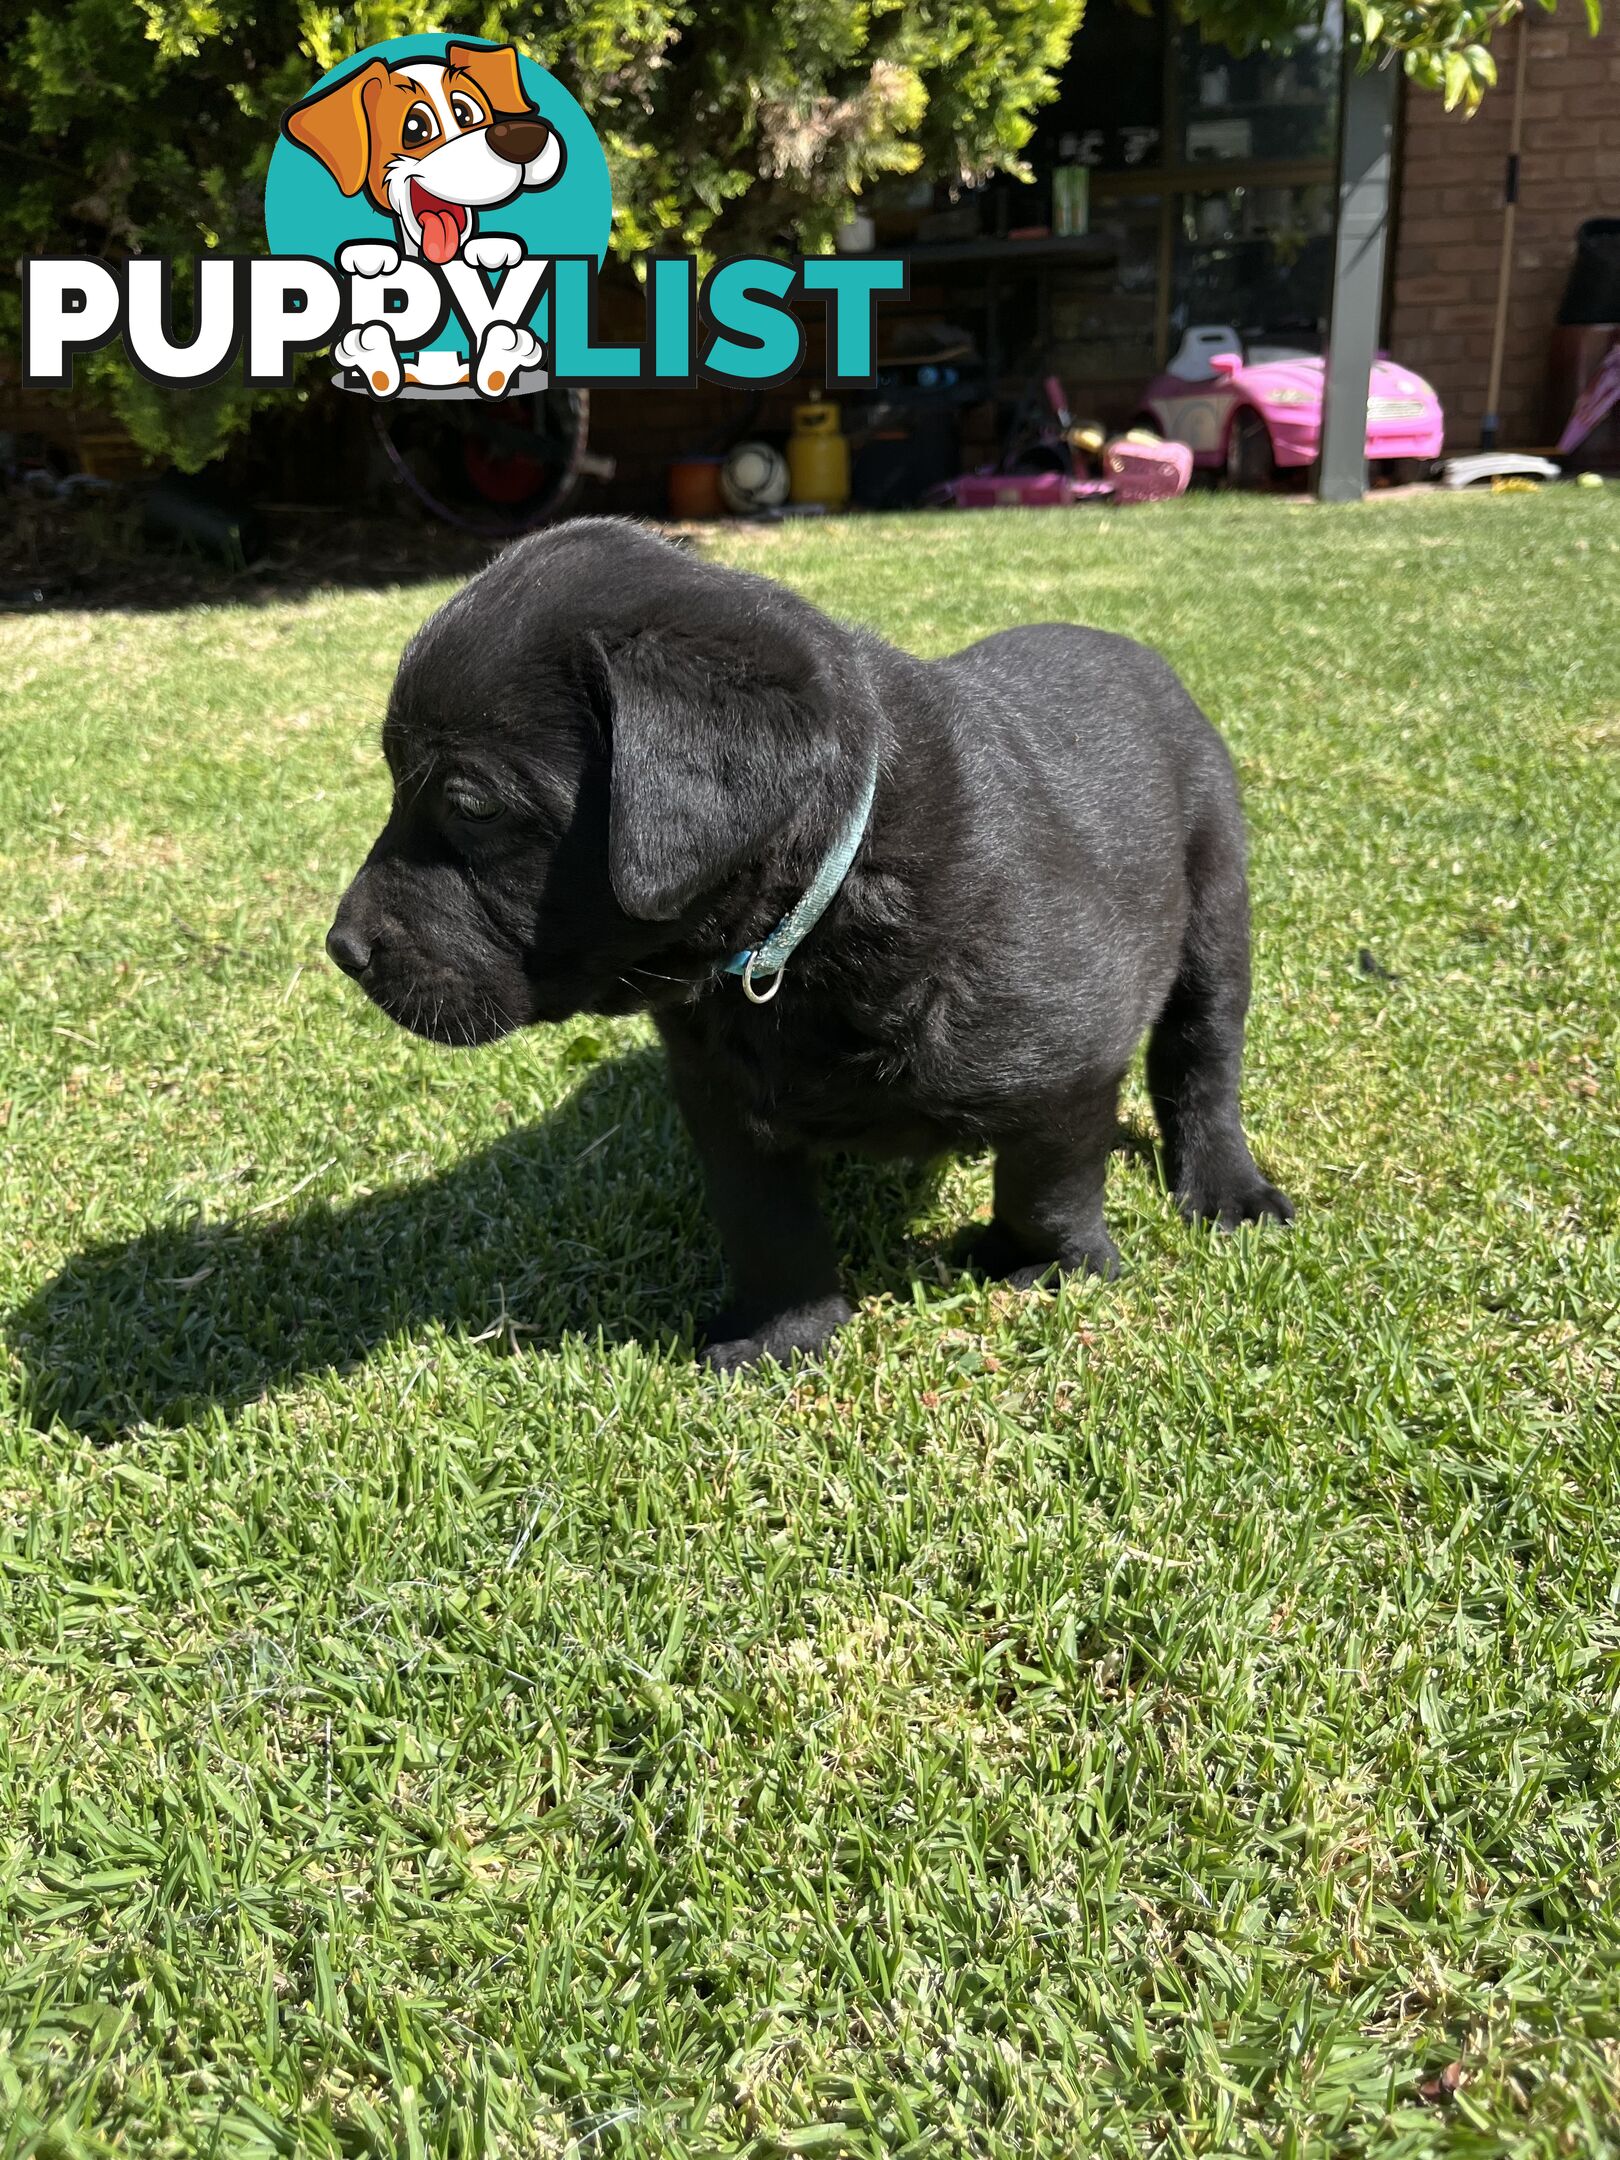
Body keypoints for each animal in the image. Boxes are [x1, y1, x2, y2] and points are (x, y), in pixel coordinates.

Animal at [330, 520, 1296, 1365]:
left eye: (471, 804)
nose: (343, 949)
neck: (816, 911)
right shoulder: (721, 1094)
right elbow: (766, 1221)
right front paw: (785, 1330)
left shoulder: (1073, 1056)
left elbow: (1047, 1183)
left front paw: (1046, 1265)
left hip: (1216, 906)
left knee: (1201, 1063)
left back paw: (1227, 1187)